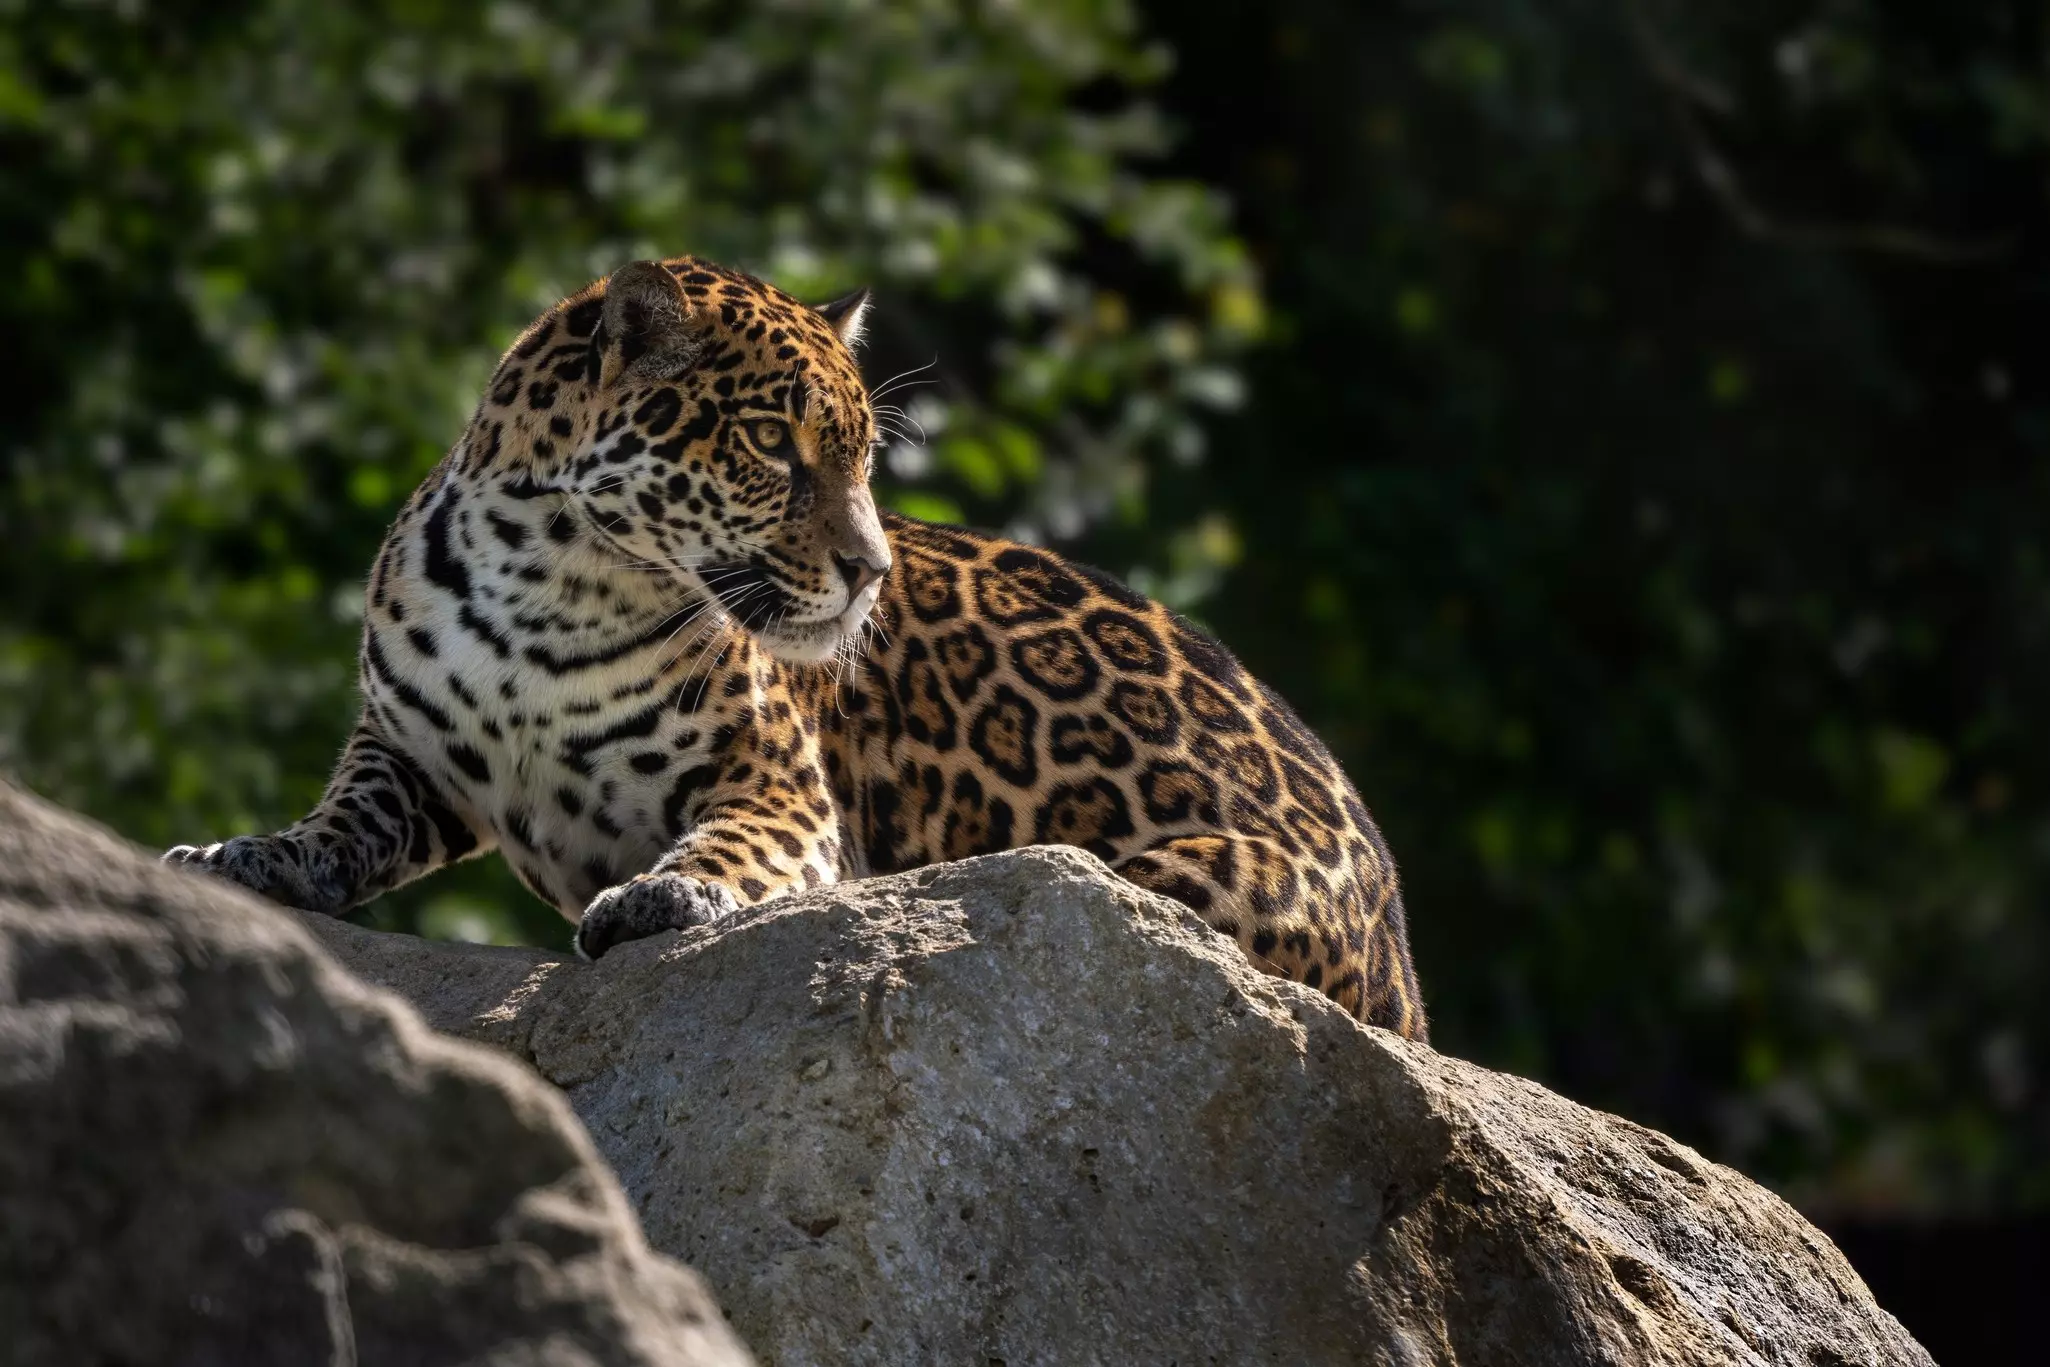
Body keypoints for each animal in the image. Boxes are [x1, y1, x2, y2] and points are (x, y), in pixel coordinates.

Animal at [164, 256, 1428, 1039]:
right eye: (774, 443)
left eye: (864, 455)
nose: (869, 568)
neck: (550, 588)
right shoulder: (407, 752)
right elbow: (341, 820)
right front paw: (247, 853)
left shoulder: (775, 782)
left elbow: (734, 846)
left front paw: (663, 893)